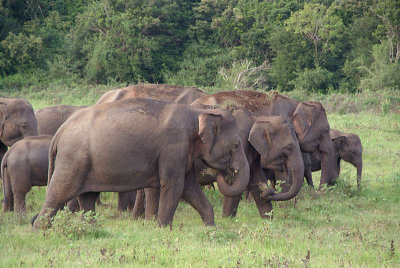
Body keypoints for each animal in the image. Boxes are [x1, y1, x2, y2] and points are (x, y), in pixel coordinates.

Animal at [32, 96, 250, 228]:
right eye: (236, 144)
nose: (226, 173)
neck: (195, 112)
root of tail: (59, 133)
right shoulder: (173, 147)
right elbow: (174, 185)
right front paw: (163, 229)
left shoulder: (182, 154)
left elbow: (189, 187)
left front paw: (210, 227)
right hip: (73, 160)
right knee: (58, 193)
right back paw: (39, 230)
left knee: (87, 198)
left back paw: (90, 228)